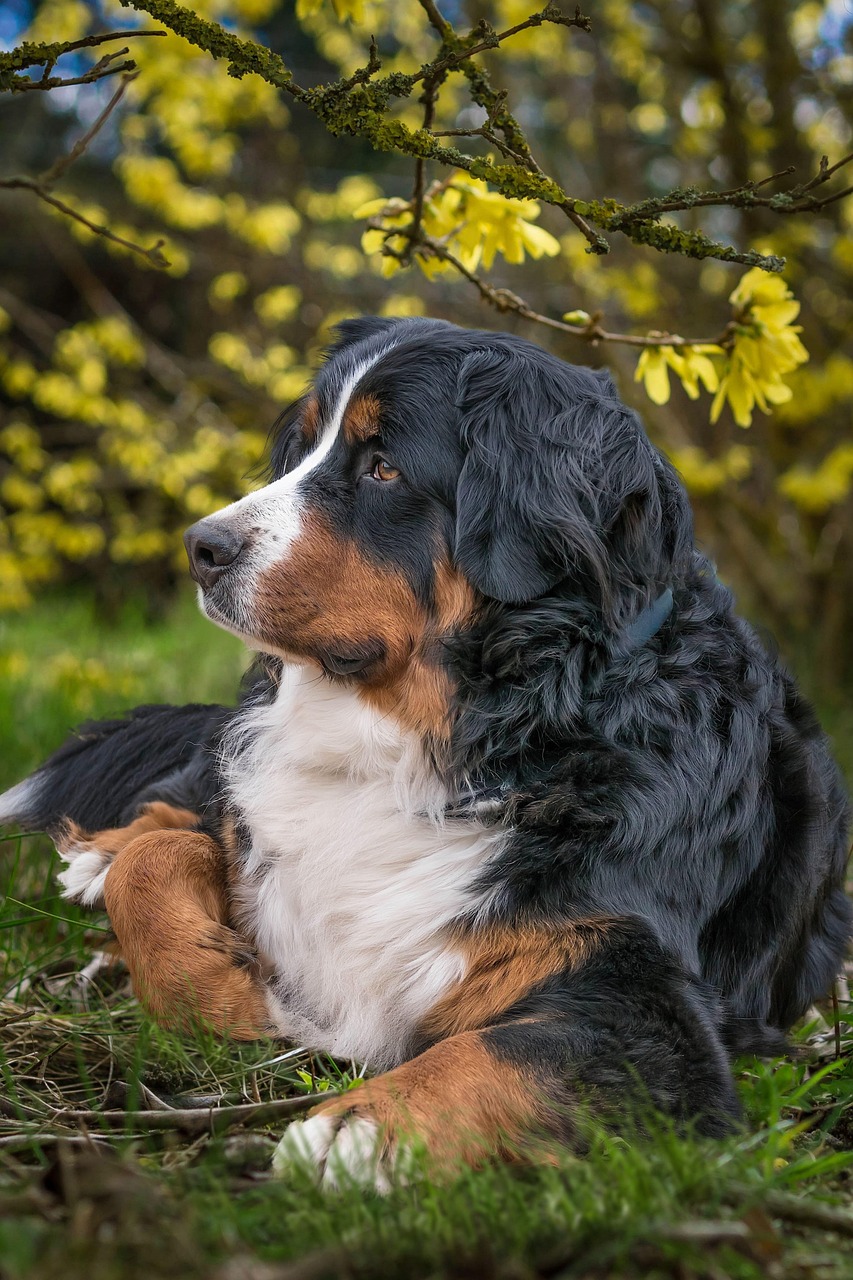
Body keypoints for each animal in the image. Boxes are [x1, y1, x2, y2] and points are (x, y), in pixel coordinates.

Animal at [0, 317, 845, 1187]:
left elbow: (508, 1053)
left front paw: (360, 1129)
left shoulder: (643, 1004)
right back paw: (101, 854)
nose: (201, 545)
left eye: (383, 466)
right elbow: (155, 870)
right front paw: (224, 987)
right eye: (304, 447)